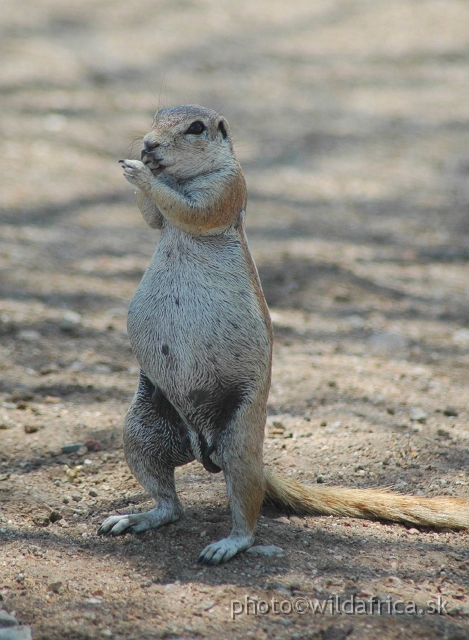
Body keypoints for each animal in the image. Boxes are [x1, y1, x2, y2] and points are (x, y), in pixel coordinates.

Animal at [97, 105, 466, 564]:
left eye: (196, 128)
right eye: (157, 115)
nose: (148, 144)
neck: (183, 176)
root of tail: (204, 448)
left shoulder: (227, 189)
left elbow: (191, 210)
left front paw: (140, 171)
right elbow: (153, 218)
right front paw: (140, 167)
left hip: (239, 439)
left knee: (245, 507)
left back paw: (227, 544)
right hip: (142, 428)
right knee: (171, 505)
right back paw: (134, 518)